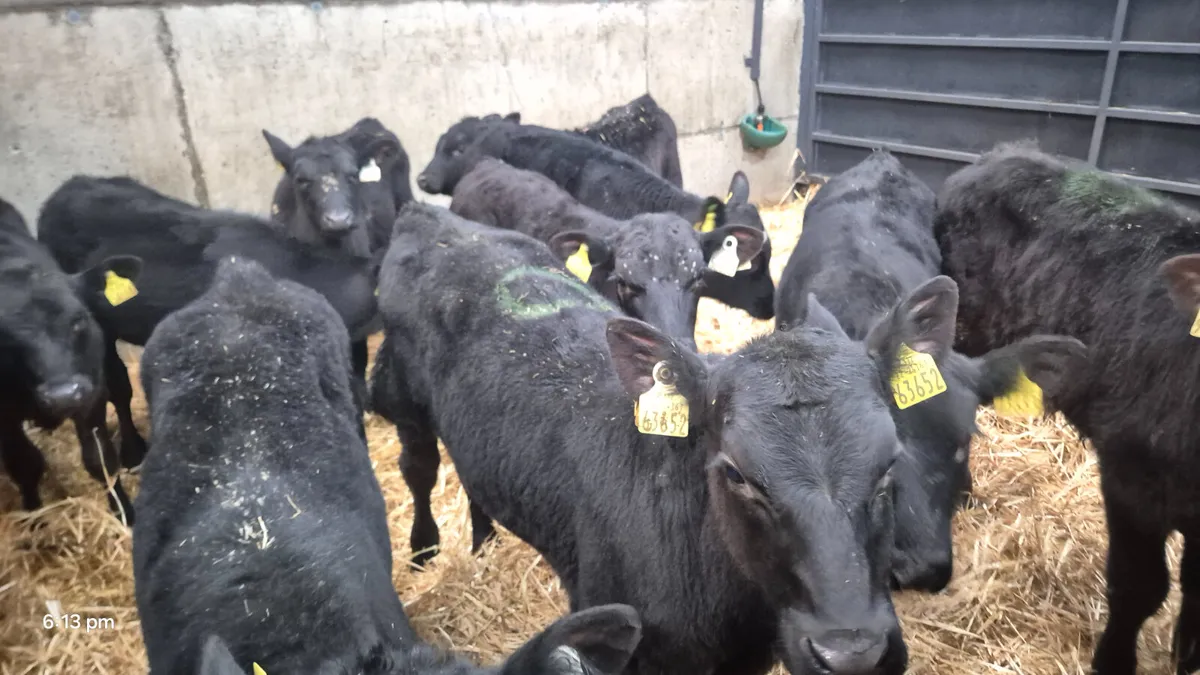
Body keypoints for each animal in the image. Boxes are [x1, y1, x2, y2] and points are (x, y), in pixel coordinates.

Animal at [0, 197, 140, 513]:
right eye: (5, 339)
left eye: (79, 320)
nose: (62, 395)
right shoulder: (3, 418)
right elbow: (24, 465)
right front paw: (34, 515)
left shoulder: (91, 393)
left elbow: (100, 460)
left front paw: (124, 512)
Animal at [370, 203, 922, 675]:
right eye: (736, 473)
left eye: (891, 463)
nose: (851, 654)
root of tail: (428, 214)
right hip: (403, 398)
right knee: (419, 468)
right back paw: (423, 550)